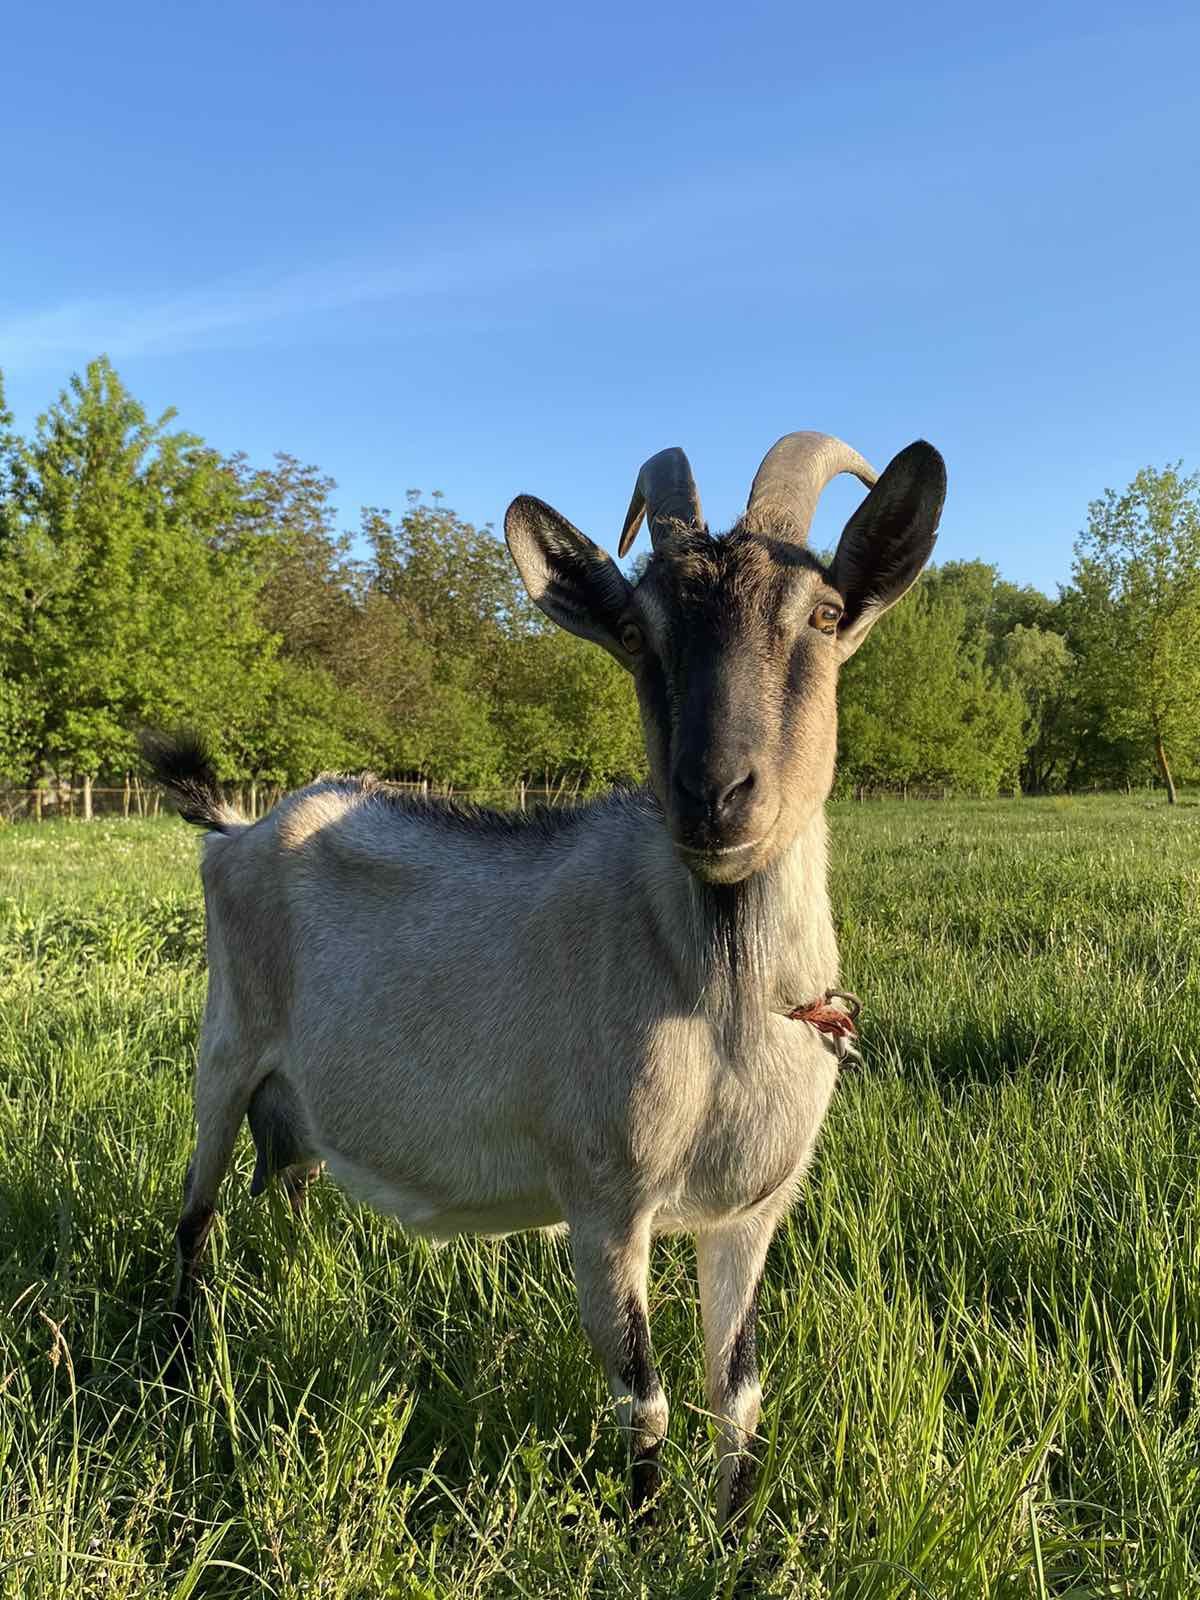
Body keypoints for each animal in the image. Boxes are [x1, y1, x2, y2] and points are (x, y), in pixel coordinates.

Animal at [145, 435, 947, 1523]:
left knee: (292, 1190)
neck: (723, 1002)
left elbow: (737, 1393)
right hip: (224, 1051)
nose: (714, 795)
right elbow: (644, 1400)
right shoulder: (605, 1198)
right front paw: (648, 1536)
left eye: (823, 615)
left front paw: (738, 1534)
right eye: (639, 631)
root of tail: (236, 830)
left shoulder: (750, 1212)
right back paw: (184, 1371)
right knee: (195, 1219)